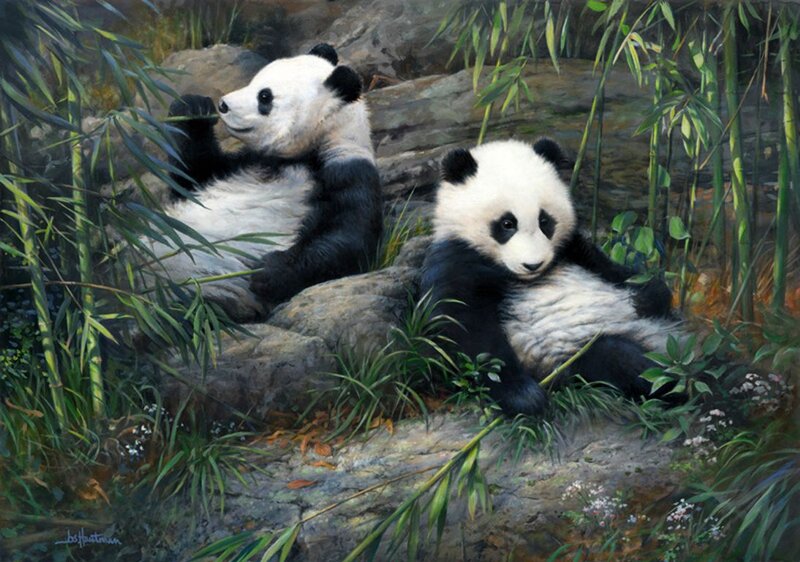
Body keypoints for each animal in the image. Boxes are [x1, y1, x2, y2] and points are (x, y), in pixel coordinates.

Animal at [146, 43, 382, 322]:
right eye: (253, 81)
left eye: (265, 97)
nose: (223, 104)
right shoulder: (241, 165)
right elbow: (192, 177)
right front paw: (194, 108)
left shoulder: (347, 172)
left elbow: (348, 240)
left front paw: (268, 272)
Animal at [420, 138, 680, 416]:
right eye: (507, 224)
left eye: (545, 221)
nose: (533, 264)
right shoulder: (457, 259)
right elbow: (464, 327)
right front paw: (525, 397)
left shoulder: (574, 250)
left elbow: (614, 270)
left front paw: (646, 298)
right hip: (571, 354)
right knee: (621, 359)